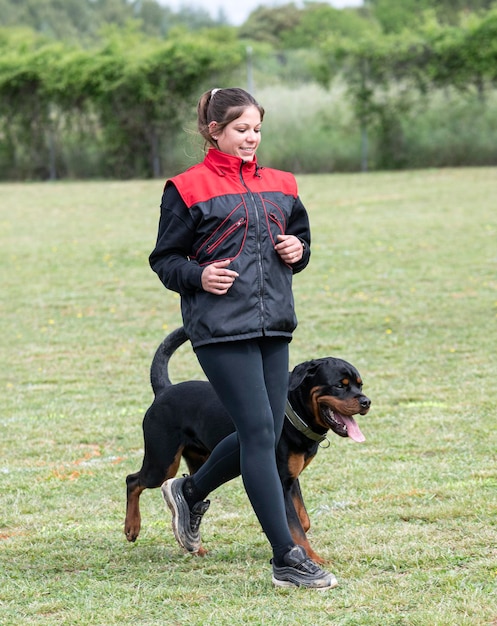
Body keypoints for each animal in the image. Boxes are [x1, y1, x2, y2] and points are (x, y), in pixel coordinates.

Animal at [126, 326, 370, 560]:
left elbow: (303, 520)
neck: (294, 414)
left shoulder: (291, 478)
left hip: (198, 460)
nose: (366, 401)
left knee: (193, 487)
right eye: (340, 385)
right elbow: (296, 526)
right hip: (162, 463)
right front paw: (314, 559)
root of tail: (164, 389)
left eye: (360, 385)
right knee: (133, 480)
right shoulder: (280, 480)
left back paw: (194, 545)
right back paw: (132, 527)